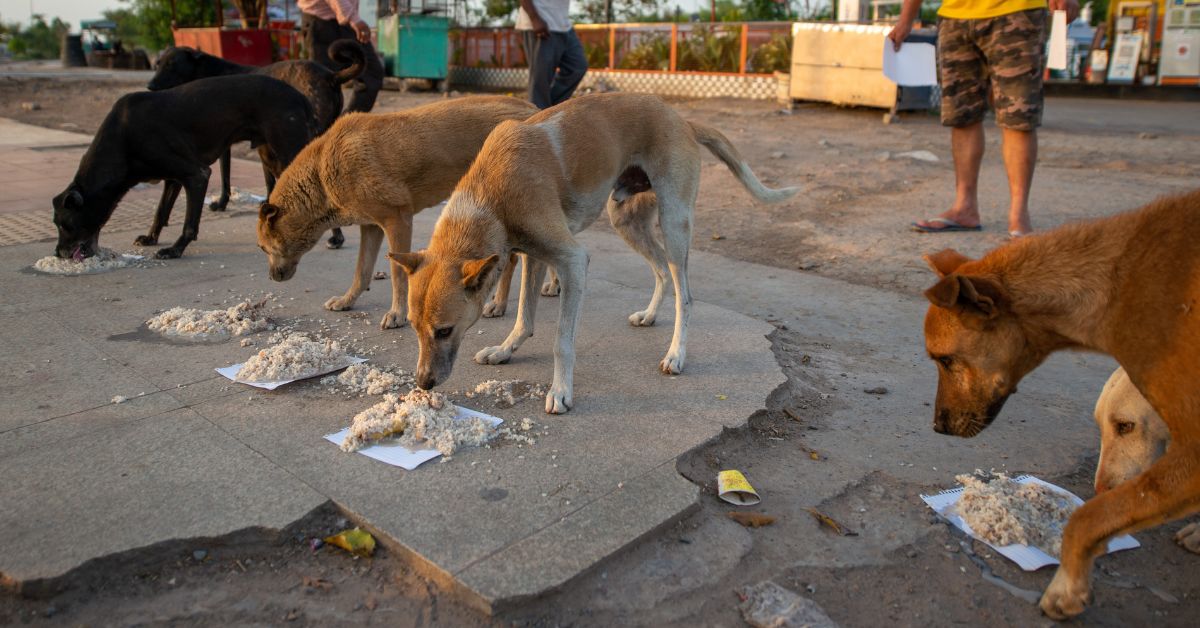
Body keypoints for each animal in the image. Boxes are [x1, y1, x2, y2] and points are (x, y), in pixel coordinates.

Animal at [52, 74, 314, 260]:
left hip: (286, 151)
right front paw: (151, 237)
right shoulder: (173, 178)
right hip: (271, 156)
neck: (122, 138)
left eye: (67, 225)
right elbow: (160, 211)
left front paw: (175, 250)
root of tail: (300, 96)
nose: (59, 254)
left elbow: (189, 224)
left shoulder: (196, 174)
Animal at [145, 39, 362, 248]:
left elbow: (225, 176)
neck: (208, 69)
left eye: (172, 64)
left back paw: (336, 235)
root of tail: (330, 75)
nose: (150, 86)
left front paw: (221, 203)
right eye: (158, 63)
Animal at [260, 97, 537, 329]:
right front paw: (347, 300)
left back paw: (505, 301)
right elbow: (362, 272)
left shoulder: (398, 220)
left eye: (263, 248)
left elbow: (397, 274)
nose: (272, 278)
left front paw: (397, 313)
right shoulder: (371, 227)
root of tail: (531, 109)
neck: (321, 172)